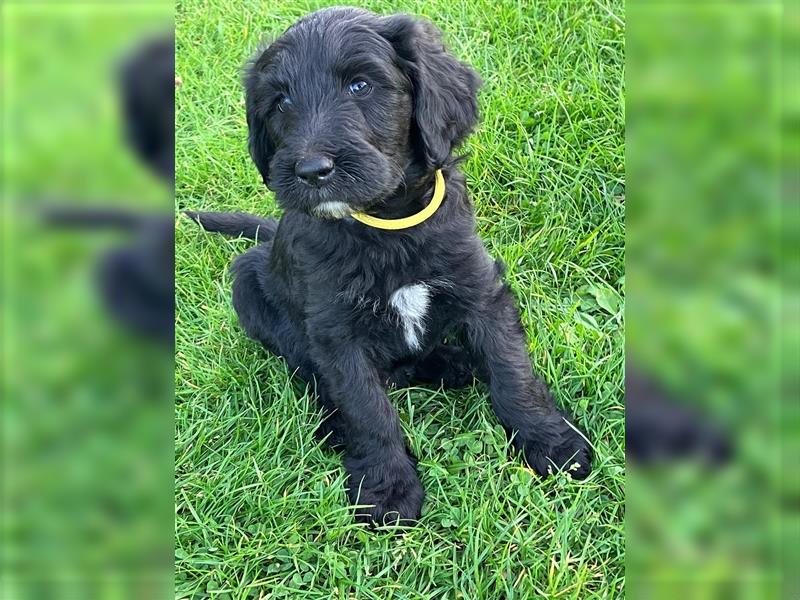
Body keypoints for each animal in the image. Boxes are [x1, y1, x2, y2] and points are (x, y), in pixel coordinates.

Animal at [186, 9, 588, 524]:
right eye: (281, 102)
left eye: (360, 85)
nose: (311, 171)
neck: (386, 227)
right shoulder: (337, 333)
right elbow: (366, 408)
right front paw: (388, 488)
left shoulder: (480, 291)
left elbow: (512, 370)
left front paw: (552, 443)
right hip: (249, 285)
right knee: (308, 371)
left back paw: (454, 363)